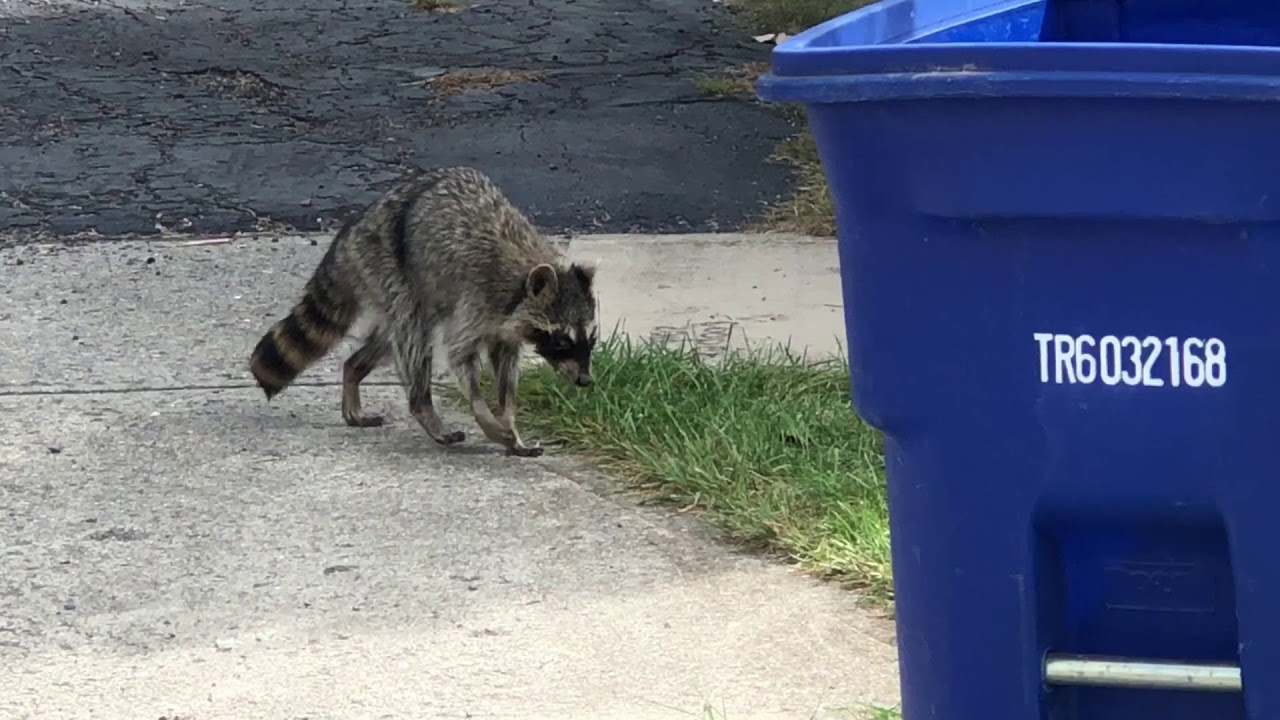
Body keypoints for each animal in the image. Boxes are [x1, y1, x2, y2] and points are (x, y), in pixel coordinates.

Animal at [247, 166, 598, 458]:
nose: (585, 381)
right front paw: (486, 417)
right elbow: (460, 356)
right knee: (413, 337)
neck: (525, 274)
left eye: (591, 340)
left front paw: (509, 421)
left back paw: (354, 370)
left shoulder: (507, 327)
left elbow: (506, 373)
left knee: (387, 340)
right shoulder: (477, 300)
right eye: (562, 341)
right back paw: (422, 405)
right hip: (392, 271)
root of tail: (357, 227)